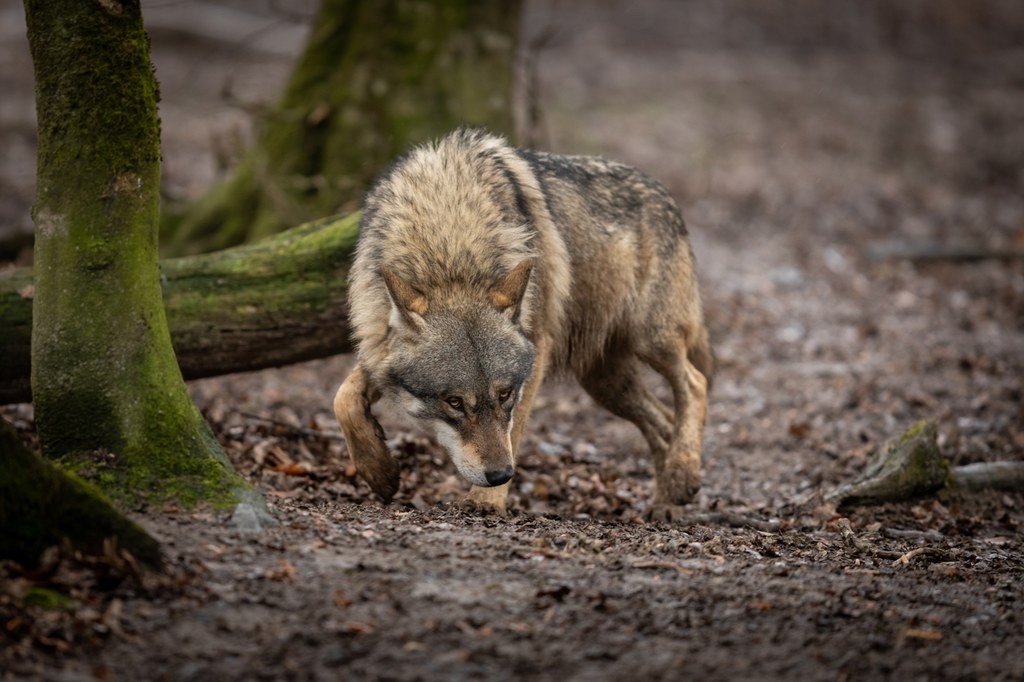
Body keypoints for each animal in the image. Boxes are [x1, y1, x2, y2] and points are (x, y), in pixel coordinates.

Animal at [335, 127, 712, 516]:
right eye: (454, 402)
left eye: (504, 395)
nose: (501, 474)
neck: (450, 249)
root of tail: (666, 193)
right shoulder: (376, 344)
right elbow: (342, 398)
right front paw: (378, 470)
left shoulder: (537, 348)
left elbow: (513, 433)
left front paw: (486, 502)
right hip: (604, 383)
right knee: (664, 420)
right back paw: (668, 500)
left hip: (651, 341)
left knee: (695, 384)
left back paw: (682, 475)